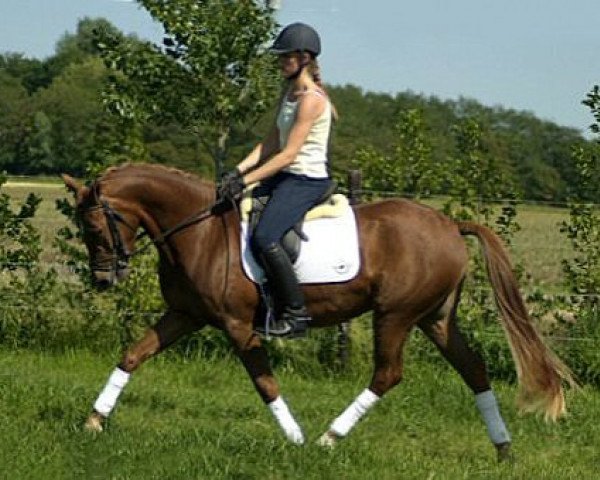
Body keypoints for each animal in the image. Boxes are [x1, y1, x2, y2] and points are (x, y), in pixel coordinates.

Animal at [63, 164, 576, 462]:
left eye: (94, 227)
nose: (104, 280)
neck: (200, 231)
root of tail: (450, 224)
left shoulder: (236, 325)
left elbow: (264, 382)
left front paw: (296, 440)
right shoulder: (186, 315)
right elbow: (132, 356)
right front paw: (94, 421)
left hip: (395, 315)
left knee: (388, 374)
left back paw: (331, 438)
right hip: (435, 318)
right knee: (474, 370)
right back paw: (503, 450)